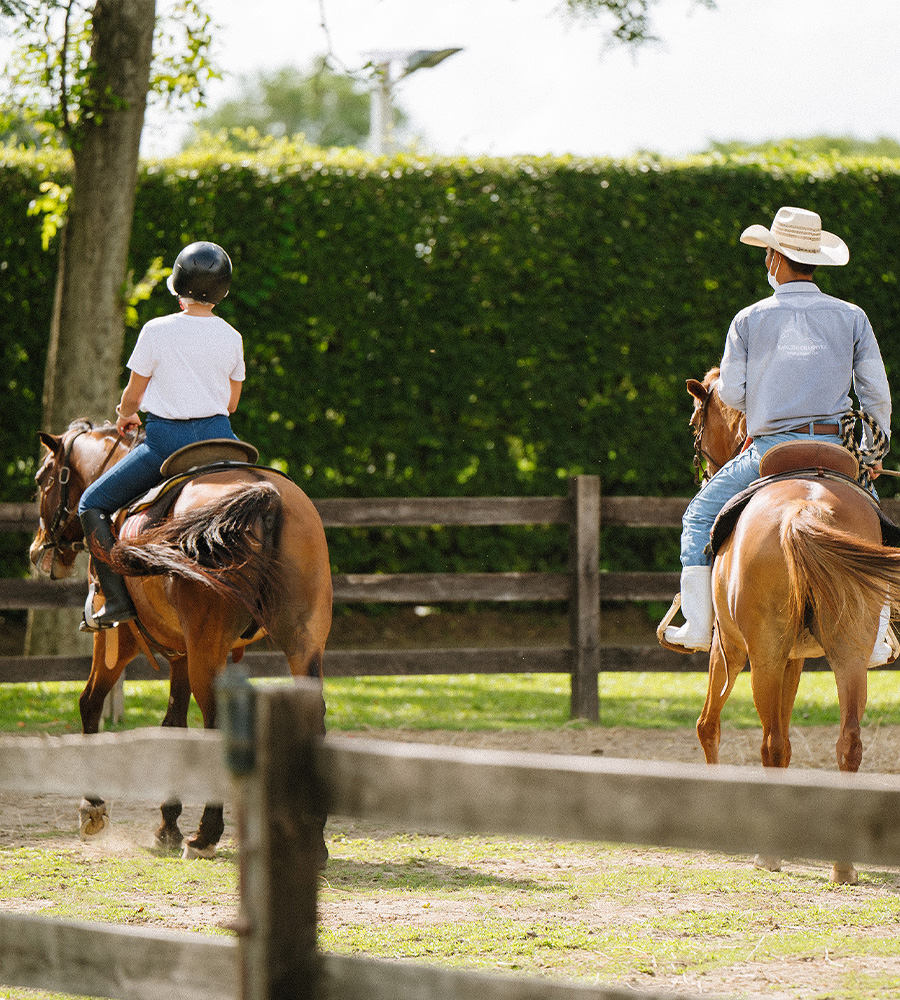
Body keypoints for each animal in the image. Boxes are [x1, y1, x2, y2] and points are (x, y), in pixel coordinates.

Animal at [29, 419, 332, 858]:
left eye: (43, 480)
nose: (38, 550)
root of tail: (266, 497)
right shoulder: (180, 656)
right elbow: (173, 725)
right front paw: (167, 824)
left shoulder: (117, 642)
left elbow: (90, 704)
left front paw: (93, 807)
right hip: (302, 645)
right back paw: (311, 839)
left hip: (208, 652)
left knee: (218, 726)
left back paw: (206, 834)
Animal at [667, 369, 900, 884]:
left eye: (695, 422)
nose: (704, 468)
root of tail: (803, 510)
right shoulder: (795, 660)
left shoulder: (731, 651)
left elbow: (708, 725)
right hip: (847, 657)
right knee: (847, 744)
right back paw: (842, 866)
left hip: (763, 657)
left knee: (769, 744)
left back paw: (768, 856)